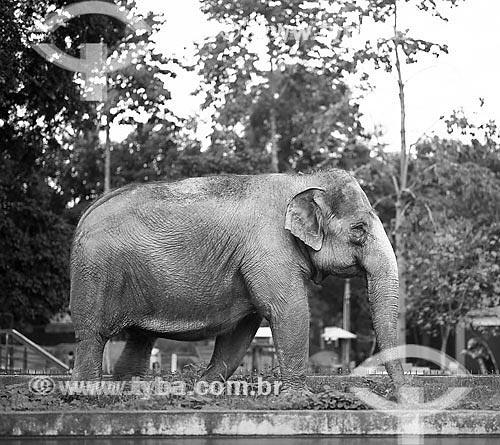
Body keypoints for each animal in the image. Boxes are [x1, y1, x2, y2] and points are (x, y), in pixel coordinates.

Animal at [70, 168, 404, 386]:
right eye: (359, 229)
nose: (401, 398)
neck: (301, 179)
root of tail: (87, 212)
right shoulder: (268, 247)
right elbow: (288, 310)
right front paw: (298, 398)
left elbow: (243, 327)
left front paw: (203, 391)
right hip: (96, 273)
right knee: (92, 336)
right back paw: (88, 395)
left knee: (140, 338)